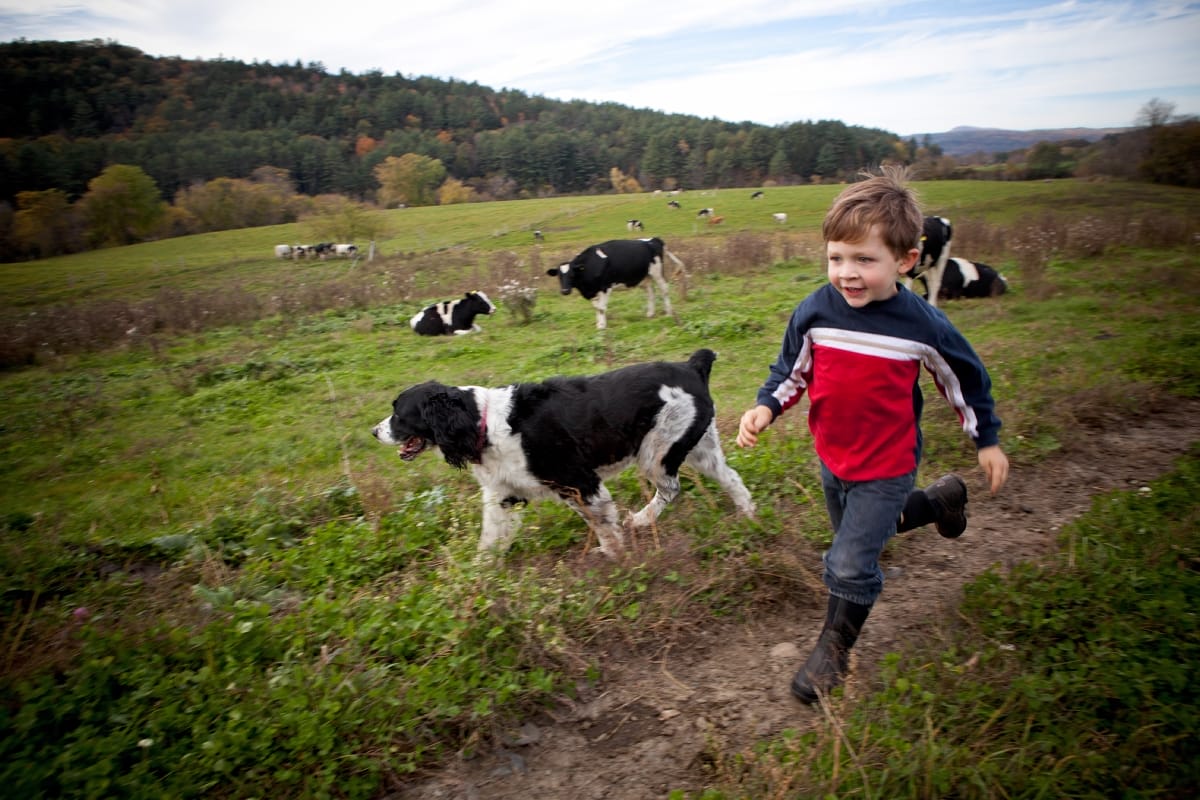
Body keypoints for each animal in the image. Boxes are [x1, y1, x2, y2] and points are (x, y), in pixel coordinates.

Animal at [369, 347, 753, 561]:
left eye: (399, 413)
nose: (374, 432)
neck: (482, 423)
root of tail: (692, 366)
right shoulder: (504, 495)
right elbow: (489, 542)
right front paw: (477, 583)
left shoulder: (580, 482)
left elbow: (603, 526)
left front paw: (615, 557)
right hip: (698, 449)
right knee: (732, 479)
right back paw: (750, 518)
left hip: (656, 453)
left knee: (671, 488)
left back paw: (643, 519)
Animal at [549, 236, 681, 331]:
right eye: (559, 276)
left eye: (572, 274)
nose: (565, 291)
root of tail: (654, 239)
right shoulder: (592, 290)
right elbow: (596, 308)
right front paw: (599, 324)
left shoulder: (605, 287)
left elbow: (601, 308)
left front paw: (602, 326)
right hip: (645, 277)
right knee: (650, 293)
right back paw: (650, 313)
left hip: (657, 272)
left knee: (664, 289)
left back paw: (668, 313)